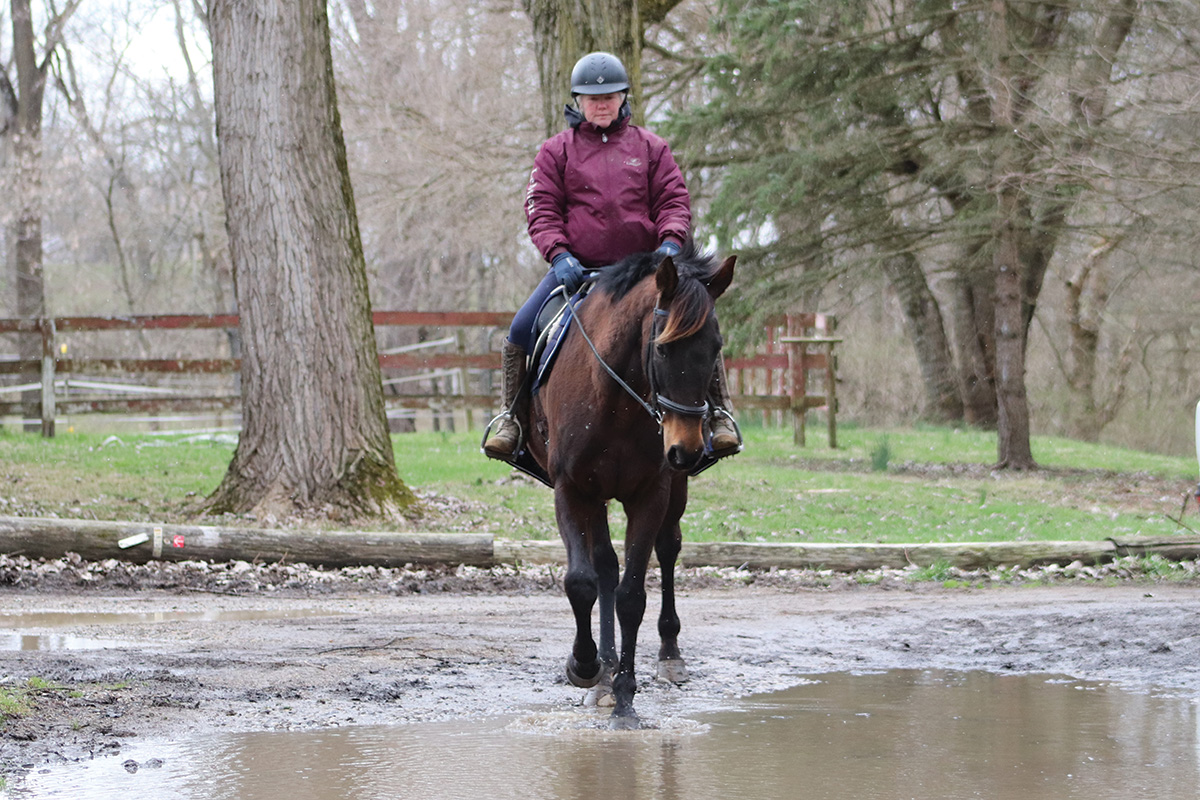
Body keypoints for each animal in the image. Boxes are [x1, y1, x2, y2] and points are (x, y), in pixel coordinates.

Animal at [528, 241, 734, 729]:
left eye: (715, 348)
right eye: (662, 350)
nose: (686, 450)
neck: (616, 399)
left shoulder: (650, 494)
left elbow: (632, 596)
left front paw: (625, 699)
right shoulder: (573, 490)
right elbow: (583, 582)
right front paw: (586, 666)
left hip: (673, 492)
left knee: (668, 548)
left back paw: (668, 655)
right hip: (598, 496)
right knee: (603, 566)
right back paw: (601, 669)